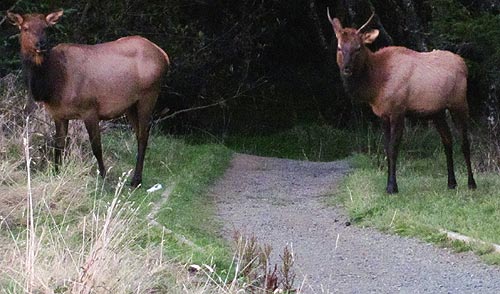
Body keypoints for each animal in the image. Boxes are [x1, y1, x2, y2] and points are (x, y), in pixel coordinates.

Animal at [328, 9, 476, 193]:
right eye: (339, 47)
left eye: (358, 47)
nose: (346, 69)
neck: (375, 84)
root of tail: (464, 64)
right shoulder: (382, 114)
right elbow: (386, 147)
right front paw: (388, 185)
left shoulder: (398, 110)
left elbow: (393, 148)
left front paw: (392, 187)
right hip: (437, 112)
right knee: (447, 141)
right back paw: (451, 183)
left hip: (459, 103)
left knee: (464, 141)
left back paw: (471, 183)